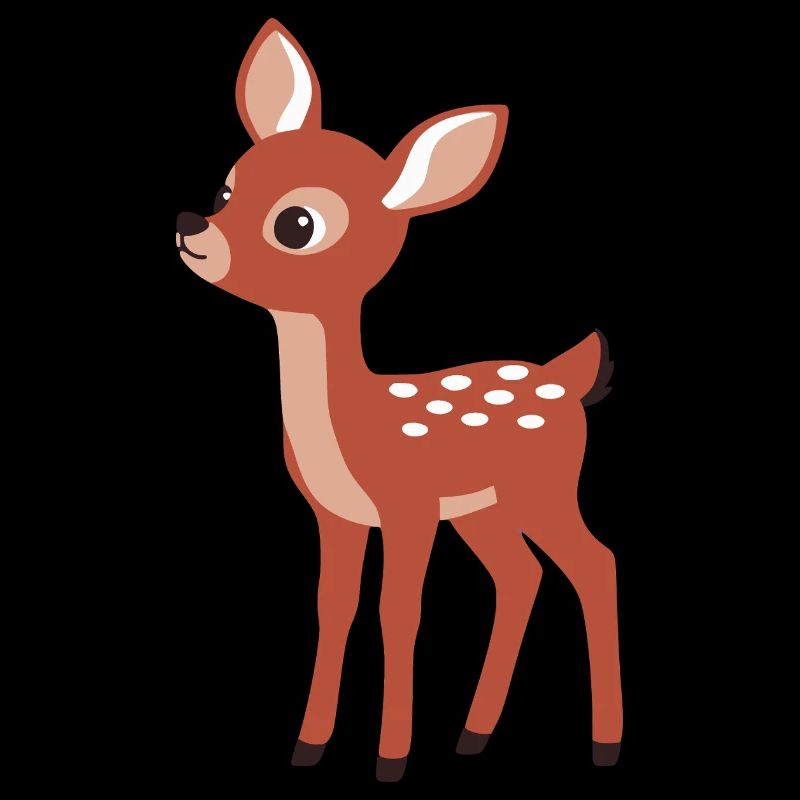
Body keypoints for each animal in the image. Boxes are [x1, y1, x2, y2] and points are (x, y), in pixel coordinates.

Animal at [175, 18, 622, 781]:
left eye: (298, 224)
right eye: (228, 189)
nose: (190, 227)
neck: (352, 422)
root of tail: (567, 378)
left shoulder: (408, 508)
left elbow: (398, 612)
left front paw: (391, 756)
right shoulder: (335, 514)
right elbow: (334, 606)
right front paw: (309, 745)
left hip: (545, 486)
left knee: (595, 564)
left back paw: (605, 743)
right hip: (484, 509)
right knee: (522, 576)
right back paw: (473, 733)